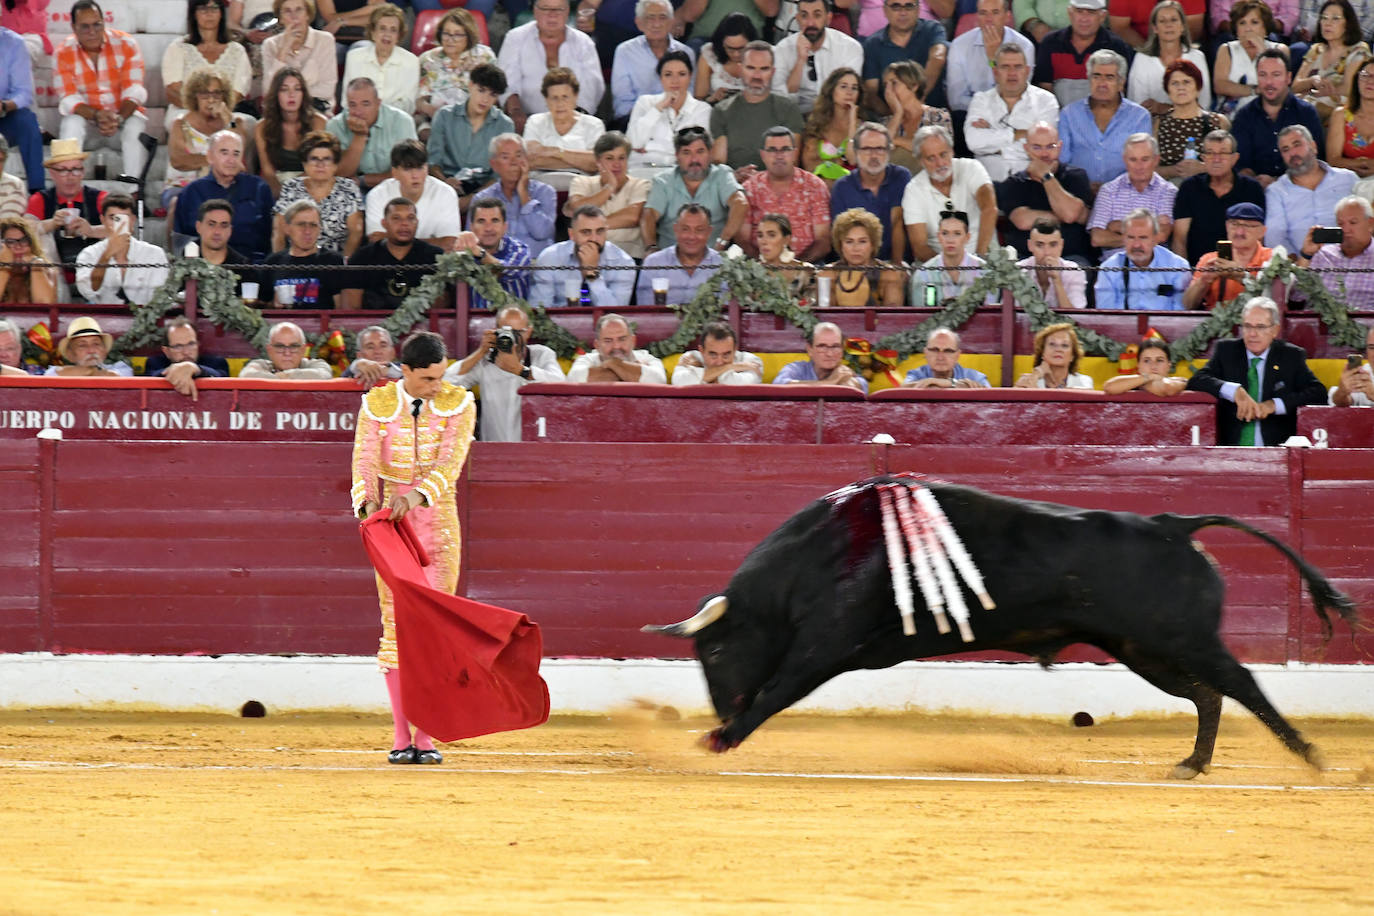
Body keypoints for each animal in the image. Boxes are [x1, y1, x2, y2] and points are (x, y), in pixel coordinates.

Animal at [643, 472, 1363, 780]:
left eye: (715, 649)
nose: (719, 707)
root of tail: (1171, 524)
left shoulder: (823, 645)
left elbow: (777, 691)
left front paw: (722, 738)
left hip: (1181, 639)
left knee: (1241, 683)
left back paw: (1311, 755)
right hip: (1143, 649)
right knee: (1208, 695)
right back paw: (1192, 763)